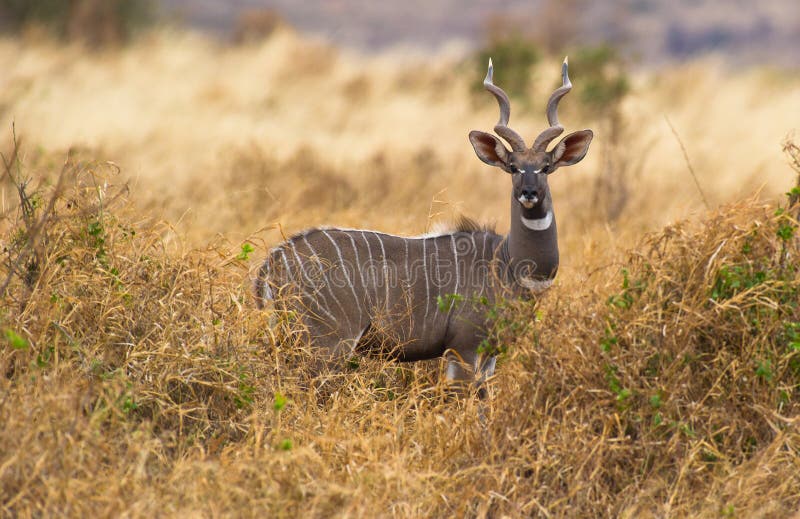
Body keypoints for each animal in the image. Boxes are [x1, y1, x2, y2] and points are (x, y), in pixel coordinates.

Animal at [258, 58, 592, 390]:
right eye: (513, 167)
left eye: (546, 167)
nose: (529, 193)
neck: (509, 264)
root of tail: (275, 260)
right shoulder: (464, 346)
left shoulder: (489, 355)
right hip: (328, 342)